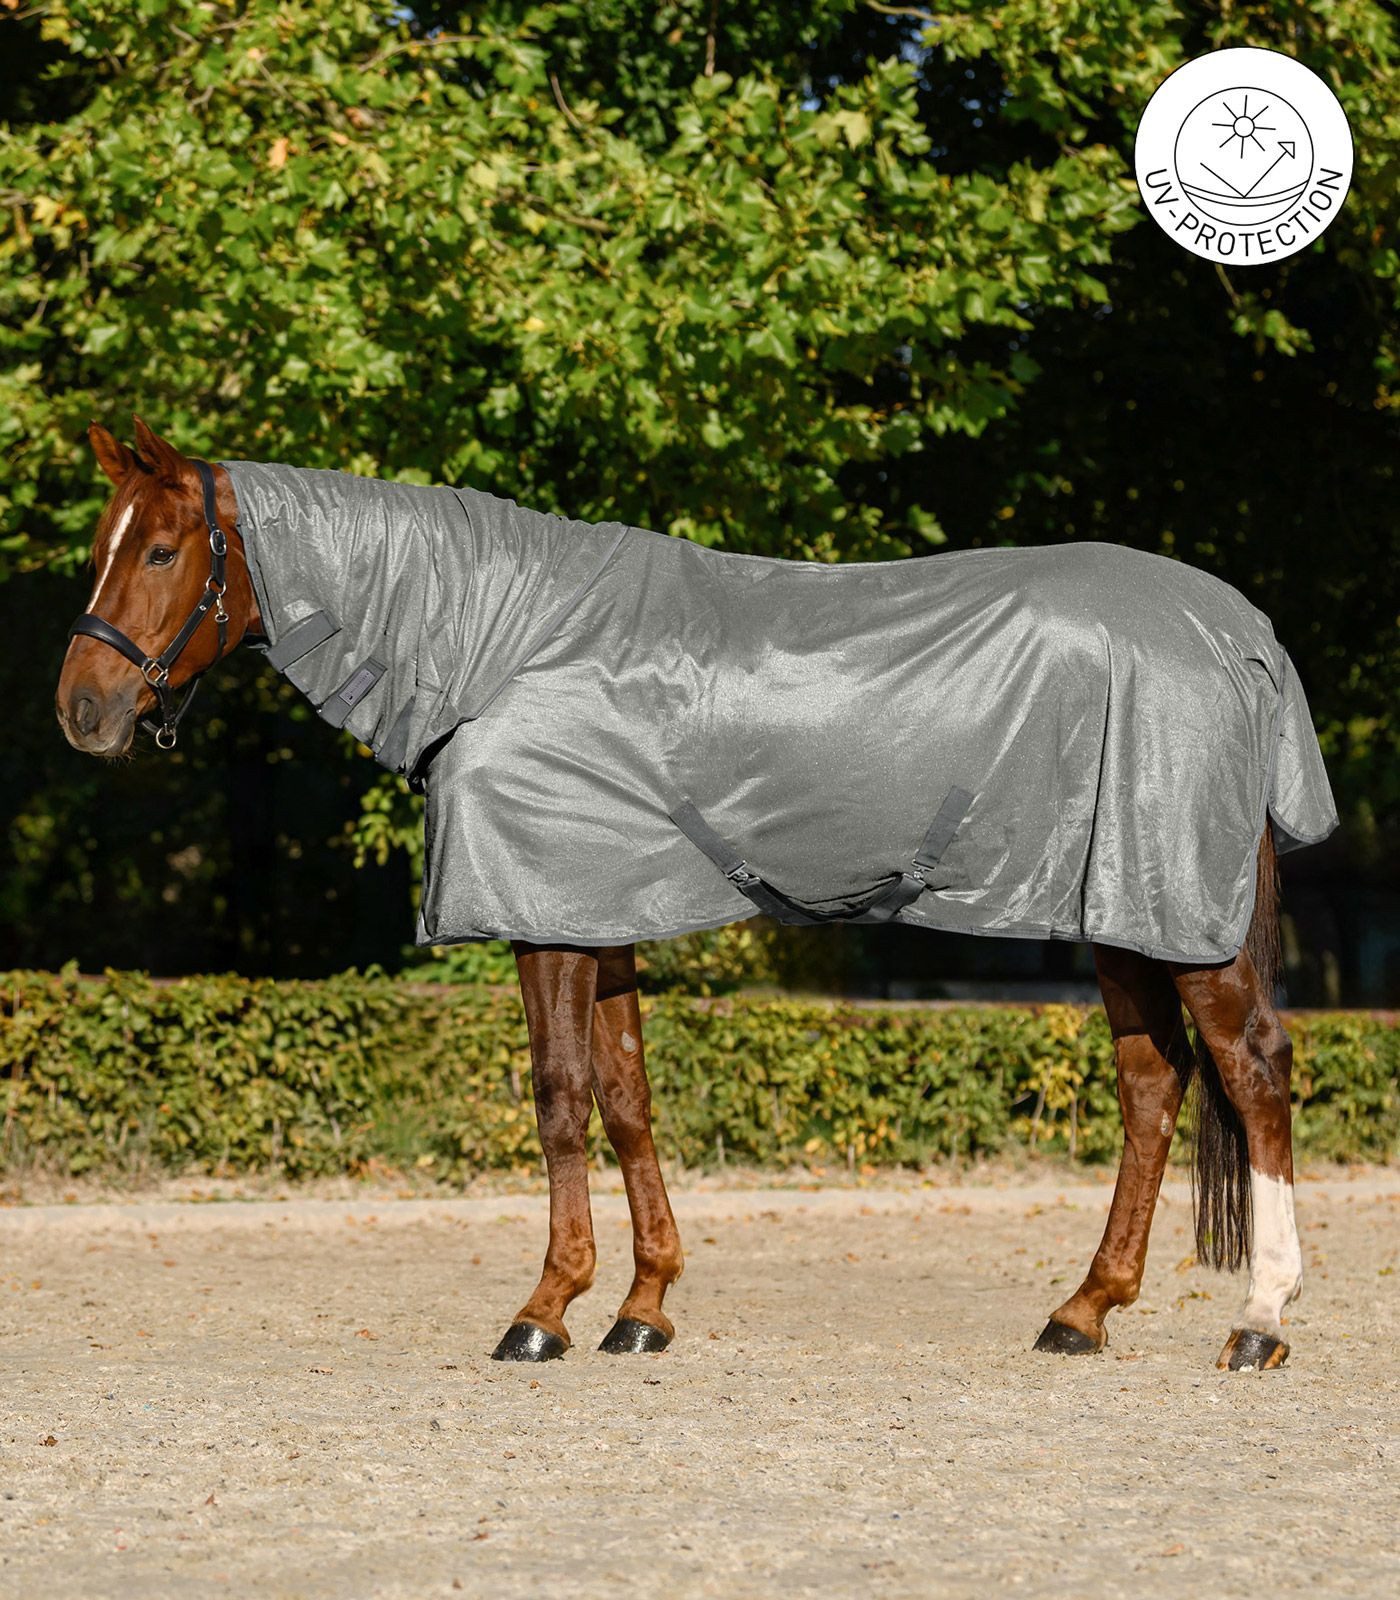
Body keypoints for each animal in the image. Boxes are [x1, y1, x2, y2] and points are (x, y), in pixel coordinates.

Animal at [56, 418, 1315, 1372]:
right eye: (105, 544)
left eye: (160, 549)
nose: (83, 709)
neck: (508, 643)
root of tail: (1239, 634)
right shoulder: (597, 912)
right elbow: (626, 1099)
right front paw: (641, 1305)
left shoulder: (546, 913)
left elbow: (559, 1097)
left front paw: (544, 1308)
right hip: (1122, 911)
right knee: (1151, 1086)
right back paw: (1082, 1309)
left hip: (1177, 917)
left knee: (1250, 1069)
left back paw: (1257, 1319)